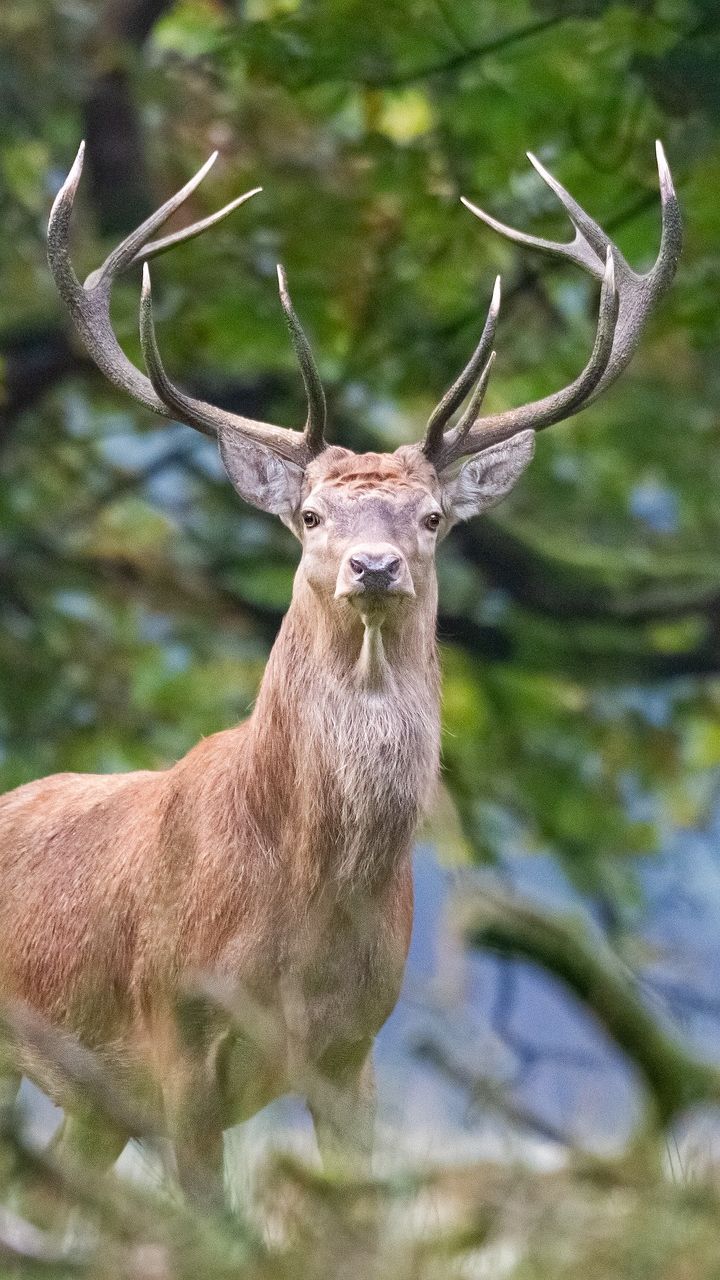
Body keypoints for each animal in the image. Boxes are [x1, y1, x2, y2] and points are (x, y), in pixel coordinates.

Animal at [0, 140, 676, 1198]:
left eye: (432, 517)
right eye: (312, 515)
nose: (374, 565)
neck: (299, 909)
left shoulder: (354, 1051)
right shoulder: (176, 1037)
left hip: (95, 1107)